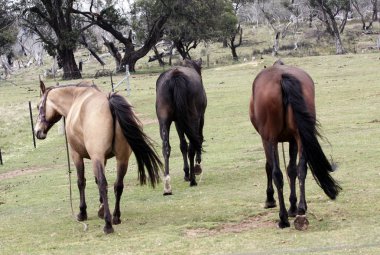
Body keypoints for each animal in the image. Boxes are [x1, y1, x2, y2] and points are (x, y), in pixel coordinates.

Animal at [33, 80, 162, 234]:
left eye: (39, 106)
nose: (37, 131)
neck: (75, 98)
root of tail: (110, 103)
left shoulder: (78, 155)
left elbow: (82, 182)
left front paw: (82, 212)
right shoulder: (104, 158)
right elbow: (96, 181)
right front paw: (101, 208)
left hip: (98, 158)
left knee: (103, 184)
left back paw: (108, 224)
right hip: (122, 159)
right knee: (118, 185)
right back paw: (115, 217)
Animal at [155, 59, 208, 195]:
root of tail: (176, 75)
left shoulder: (178, 121)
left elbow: (182, 145)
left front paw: (186, 173)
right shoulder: (200, 118)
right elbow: (198, 139)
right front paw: (196, 166)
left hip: (164, 122)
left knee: (166, 148)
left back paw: (167, 186)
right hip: (193, 119)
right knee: (192, 147)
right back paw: (193, 180)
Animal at [249, 60, 342, 229]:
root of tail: (282, 76)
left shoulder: (266, 139)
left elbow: (269, 167)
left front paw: (270, 199)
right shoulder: (292, 140)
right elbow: (292, 170)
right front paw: (293, 206)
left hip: (271, 139)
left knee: (277, 174)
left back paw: (283, 218)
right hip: (300, 137)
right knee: (301, 169)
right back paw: (300, 209)